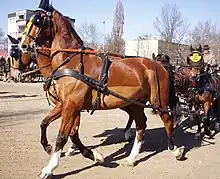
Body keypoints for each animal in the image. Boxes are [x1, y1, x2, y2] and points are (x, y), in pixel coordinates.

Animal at [21, 0, 184, 178]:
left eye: (38, 19)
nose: (23, 45)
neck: (72, 62)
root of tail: (159, 64)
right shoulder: (65, 104)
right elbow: (51, 125)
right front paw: (92, 155)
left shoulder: (71, 105)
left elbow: (63, 135)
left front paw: (50, 168)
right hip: (135, 104)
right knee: (141, 124)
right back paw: (131, 157)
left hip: (159, 102)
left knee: (167, 121)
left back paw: (175, 150)